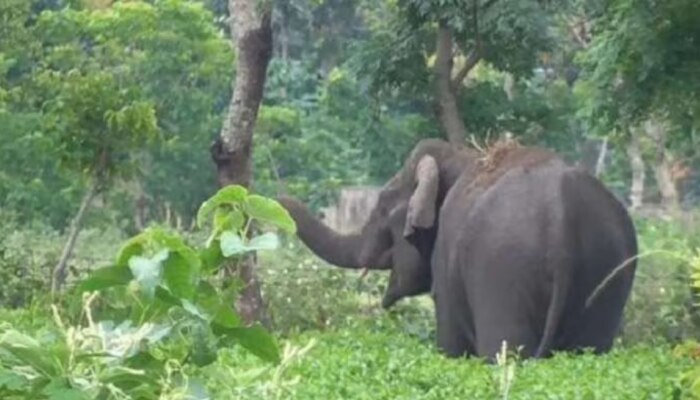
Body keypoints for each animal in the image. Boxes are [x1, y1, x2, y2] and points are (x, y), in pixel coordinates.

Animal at [276, 138, 636, 360]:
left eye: (383, 208)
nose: (277, 197)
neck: (464, 155)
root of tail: (564, 219)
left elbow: (450, 341)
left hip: (503, 272)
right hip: (608, 275)